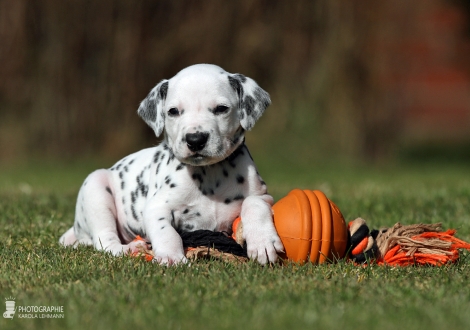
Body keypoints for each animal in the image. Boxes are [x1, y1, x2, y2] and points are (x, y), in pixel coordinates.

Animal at [58, 63, 282, 266]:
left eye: (221, 109)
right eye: (173, 111)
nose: (195, 139)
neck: (209, 173)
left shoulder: (263, 195)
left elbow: (253, 204)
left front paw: (262, 242)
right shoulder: (157, 207)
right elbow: (166, 231)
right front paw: (170, 256)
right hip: (95, 187)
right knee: (105, 241)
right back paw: (130, 248)